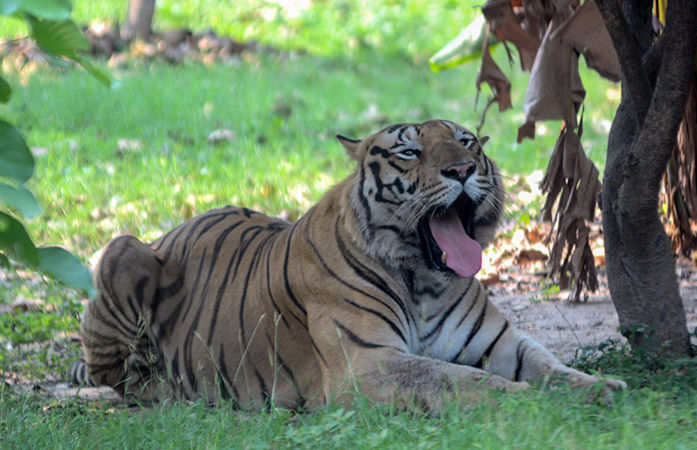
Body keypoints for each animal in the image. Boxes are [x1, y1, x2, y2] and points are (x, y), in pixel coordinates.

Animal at [72, 119, 625, 410]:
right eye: (410, 150)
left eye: (466, 141)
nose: (463, 169)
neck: (427, 281)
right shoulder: (366, 363)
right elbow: (458, 379)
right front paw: (522, 400)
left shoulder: (501, 343)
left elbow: (550, 366)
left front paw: (601, 387)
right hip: (121, 250)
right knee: (120, 378)